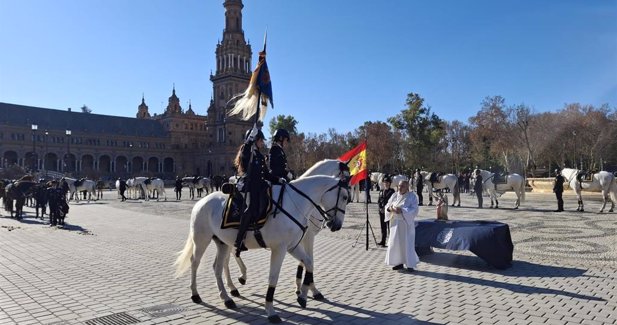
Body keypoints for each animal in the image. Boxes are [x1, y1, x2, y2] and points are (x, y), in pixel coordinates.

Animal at [174, 175, 346, 322]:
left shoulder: (292, 247)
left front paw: (302, 295)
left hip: (222, 242)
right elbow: (273, 278)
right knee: (195, 263)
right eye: (345, 197)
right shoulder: (279, 249)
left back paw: (227, 297)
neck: (294, 204)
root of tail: (201, 201)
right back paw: (196, 294)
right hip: (201, 240)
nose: (336, 225)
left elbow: (309, 263)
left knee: (218, 266)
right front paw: (270, 311)